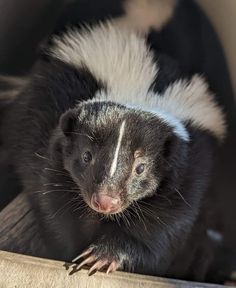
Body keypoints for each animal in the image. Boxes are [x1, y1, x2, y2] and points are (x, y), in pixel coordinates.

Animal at [0, 0, 227, 280]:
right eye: (87, 156)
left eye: (141, 168)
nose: (106, 202)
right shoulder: (49, 124)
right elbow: (52, 199)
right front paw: (74, 249)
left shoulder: (191, 165)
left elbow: (163, 228)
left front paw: (103, 255)